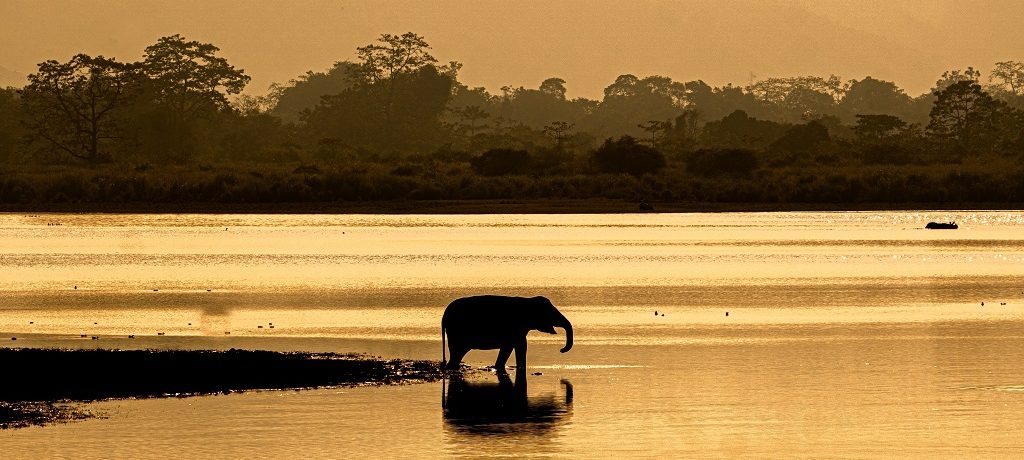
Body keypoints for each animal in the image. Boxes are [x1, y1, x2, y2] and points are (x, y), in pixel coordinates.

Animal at [438, 295, 573, 372]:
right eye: (550, 313)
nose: (561, 350)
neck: (528, 301)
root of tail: (444, 317)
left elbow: (508, 347)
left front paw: (497, 367)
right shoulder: (517, 328)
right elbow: (521, 345)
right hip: (457, 333)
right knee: (457, 354)